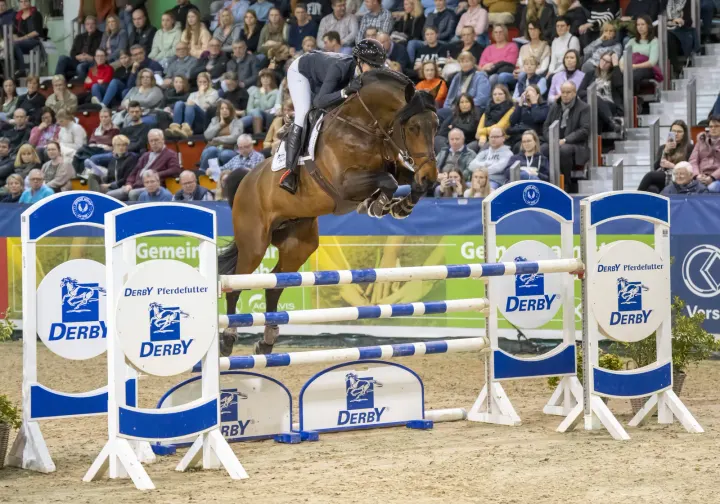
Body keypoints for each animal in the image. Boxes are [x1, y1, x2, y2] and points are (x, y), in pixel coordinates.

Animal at [218, 69, 440, 356]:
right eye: (413, 127)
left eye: (436, 125)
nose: (431, 176)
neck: (364, 126)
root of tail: (245, 181)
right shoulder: (345, 184)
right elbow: (388, 181)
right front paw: (377, 204)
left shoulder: (394, 166)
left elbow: (405, 180)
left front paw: (401, 205)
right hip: (254, 244)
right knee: (236, 284)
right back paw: (227, 339)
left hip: (299, 244)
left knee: (274, 285)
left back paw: (266, 341)